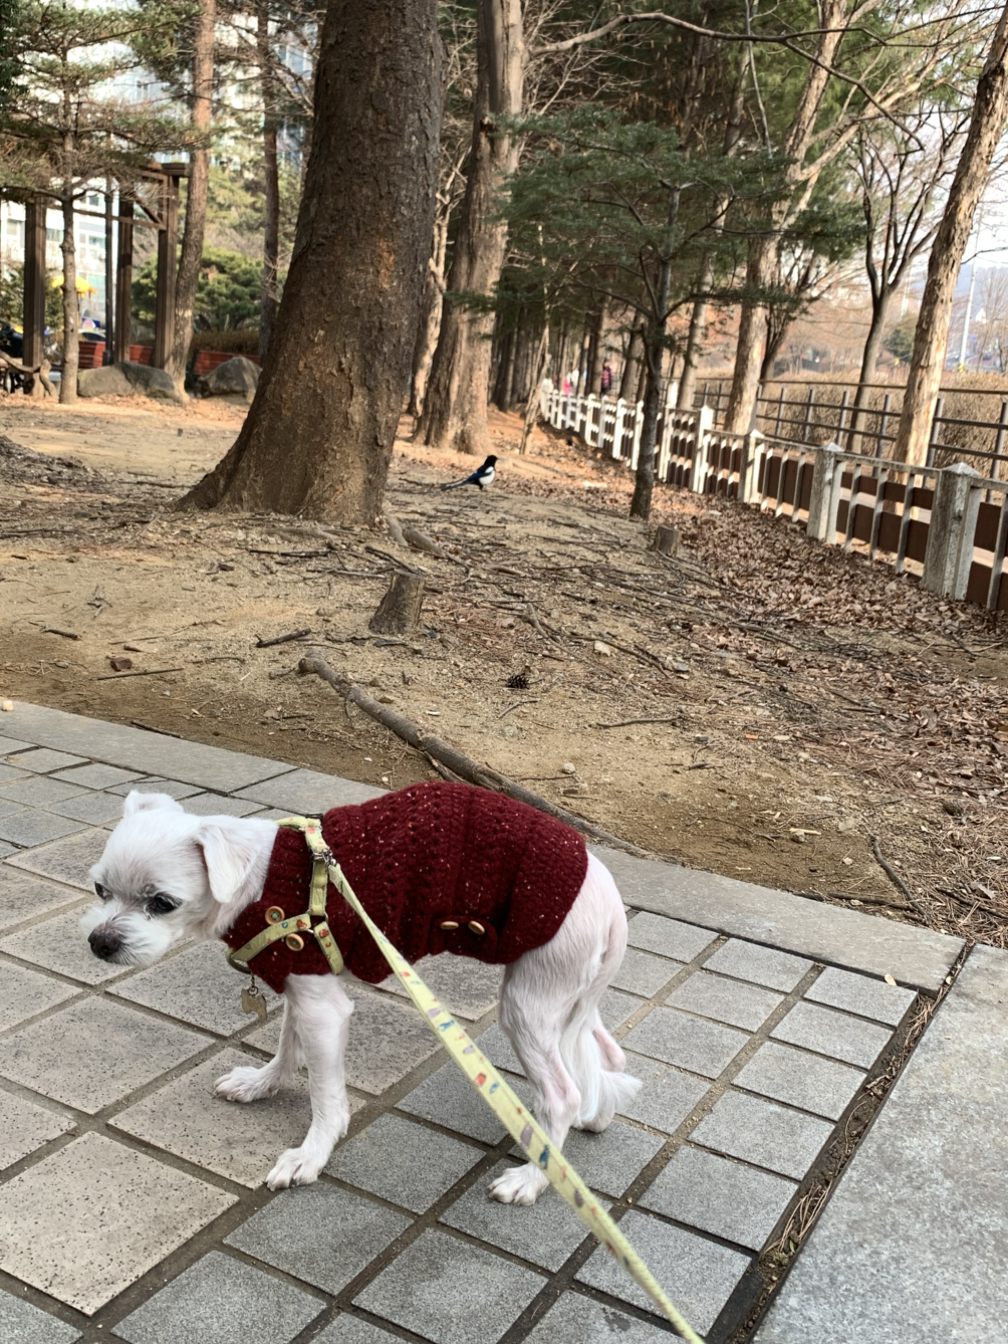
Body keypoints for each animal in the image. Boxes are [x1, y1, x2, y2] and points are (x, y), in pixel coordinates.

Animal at [82, 782, 641, 1202]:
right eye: (99, 890)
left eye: (162, 903)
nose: (99, 942)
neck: (260, 881)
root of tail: (608, 892)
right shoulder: (302, 978)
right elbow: (286, 1045)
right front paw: (263, 1084)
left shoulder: (324, 1009)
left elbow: (326, 1094)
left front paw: (311, 1155)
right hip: (565, 997)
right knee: (604, 1055)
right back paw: (594, 1120)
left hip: (528, 1002)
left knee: (563, 1093)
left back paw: (534, 1177)